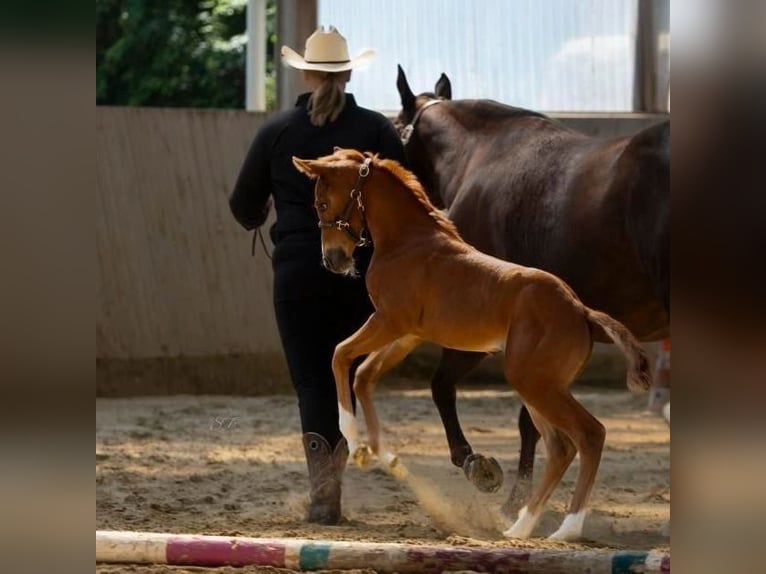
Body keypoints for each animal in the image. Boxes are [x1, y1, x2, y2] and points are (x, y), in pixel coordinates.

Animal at [292, 146, 652, 544]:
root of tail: (581, 310)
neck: (409, 242)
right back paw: (520, 526)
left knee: (589, 435)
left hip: (535, 383)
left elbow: (340, 355)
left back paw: (567, 528)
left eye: (322, 203)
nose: (333, 260)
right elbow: (365, 375)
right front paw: (383, 456)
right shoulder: (409, 333)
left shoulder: (389, 321)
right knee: (561, 447)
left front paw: (355, 442)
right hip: (538, 385)